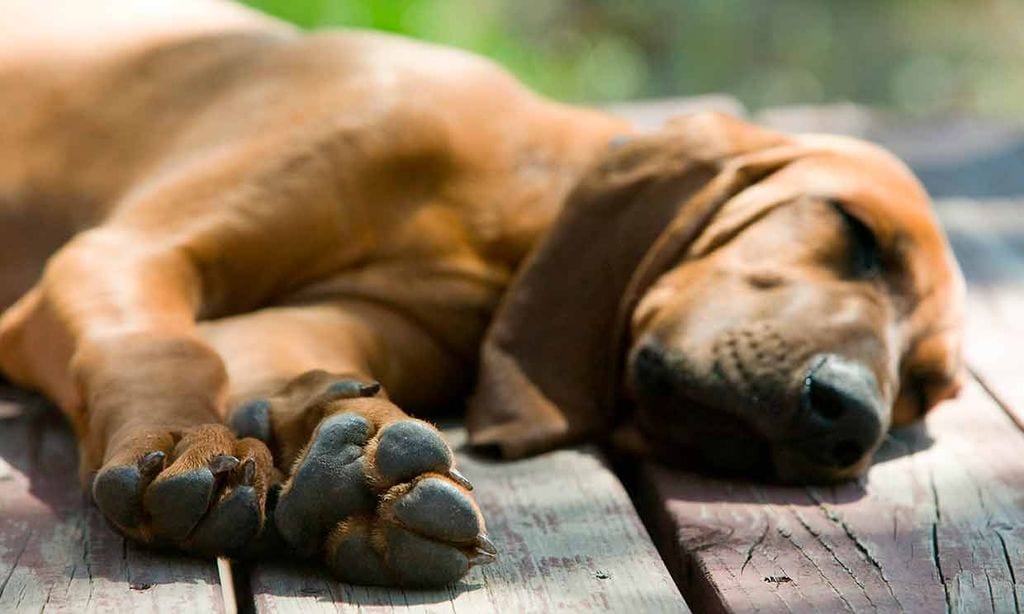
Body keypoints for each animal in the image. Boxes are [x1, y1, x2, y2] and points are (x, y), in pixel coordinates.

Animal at [0, 0, 962, 585]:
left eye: (923, 390)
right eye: (857, 235)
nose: (849, 418)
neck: (505, 215)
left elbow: (252, 362)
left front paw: (357, 462)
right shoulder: (123, 253)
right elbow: (159, 348)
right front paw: (185, 443)